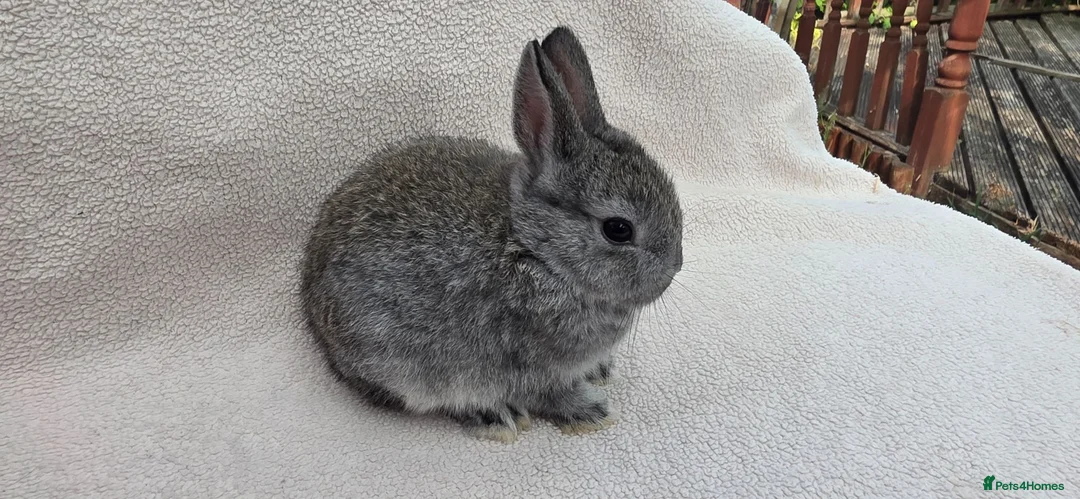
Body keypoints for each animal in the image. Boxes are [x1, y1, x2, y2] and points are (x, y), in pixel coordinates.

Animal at [300, 26, 683, 443]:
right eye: (618, 230)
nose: (674, 269)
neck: (536, 249)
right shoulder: (529, 364)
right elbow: (548, 393)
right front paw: (591, 411)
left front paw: (600, 371)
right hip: (404, 364)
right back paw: (496, 416)